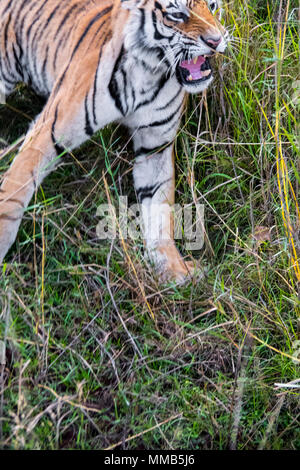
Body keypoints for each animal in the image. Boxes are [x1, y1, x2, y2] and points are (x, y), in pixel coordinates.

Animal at [0, 0, 227, 282]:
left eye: (213, 6)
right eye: (176, 14)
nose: (216, 41)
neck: (150, 72)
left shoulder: (155, 146)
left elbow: (160, 210)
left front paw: (174, 269)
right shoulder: (49, 131)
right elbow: (13, 195)